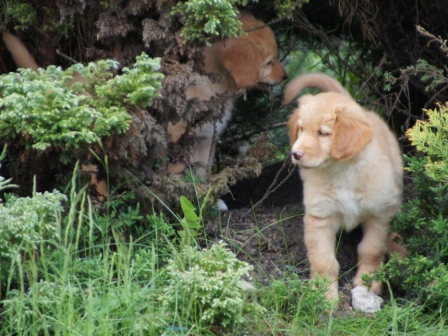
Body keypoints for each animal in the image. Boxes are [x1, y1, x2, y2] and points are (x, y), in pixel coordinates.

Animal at [286, 72, 404, 300]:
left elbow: (371, 249)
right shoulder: (319, 217)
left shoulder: (378, 214)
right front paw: (323, 293)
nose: (295, 153)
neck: (341, 172)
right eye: (301, 129)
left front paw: (369, 281)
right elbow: (324, 260)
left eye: (322, 133)